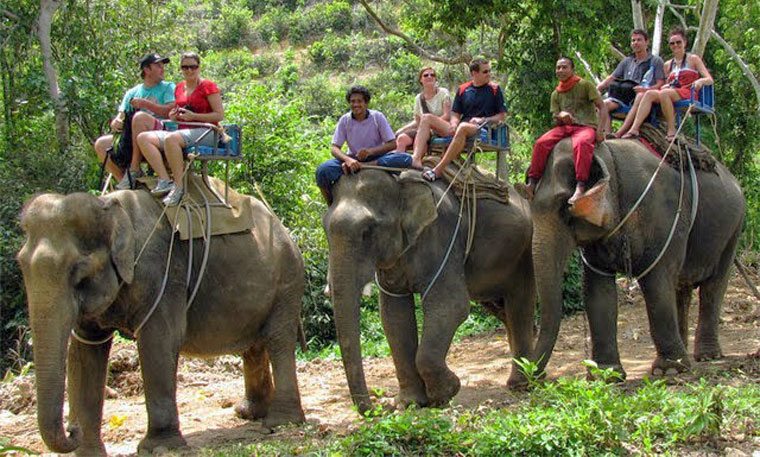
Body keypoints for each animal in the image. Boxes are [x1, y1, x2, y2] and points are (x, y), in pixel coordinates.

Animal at [16, 185, 305, 456]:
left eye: (79, 274)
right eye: (20, 265)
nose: (71, 429)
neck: (110, 208)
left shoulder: (163, 274)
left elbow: (159, 341)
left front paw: (159, 447)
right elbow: (85, 352)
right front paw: (88, 453)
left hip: (287, 281)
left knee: (278, 341)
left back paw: (281, 422)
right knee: (254, 347)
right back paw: (249, 413)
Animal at [323, 169, 535, 413]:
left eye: (367, 232)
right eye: (325, 229)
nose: (376, 408)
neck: (400, 184)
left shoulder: (443, 235)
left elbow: (451, 305)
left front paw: (445, 393)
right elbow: (394, 316)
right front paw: (408, 403)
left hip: (522, 254)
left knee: (519, 306)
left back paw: (522, 384)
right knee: (503, 310)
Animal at [529, 138, 745, 378]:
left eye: (564, 208)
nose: (535, 378)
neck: (608, 157)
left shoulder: (661, 217)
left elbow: (656, 283)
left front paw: (667, 371)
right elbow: (597, 291)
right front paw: (606, 375)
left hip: (733, 229)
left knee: (713, 287)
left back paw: (706, 356)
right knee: (681, 288)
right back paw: (686, 353)